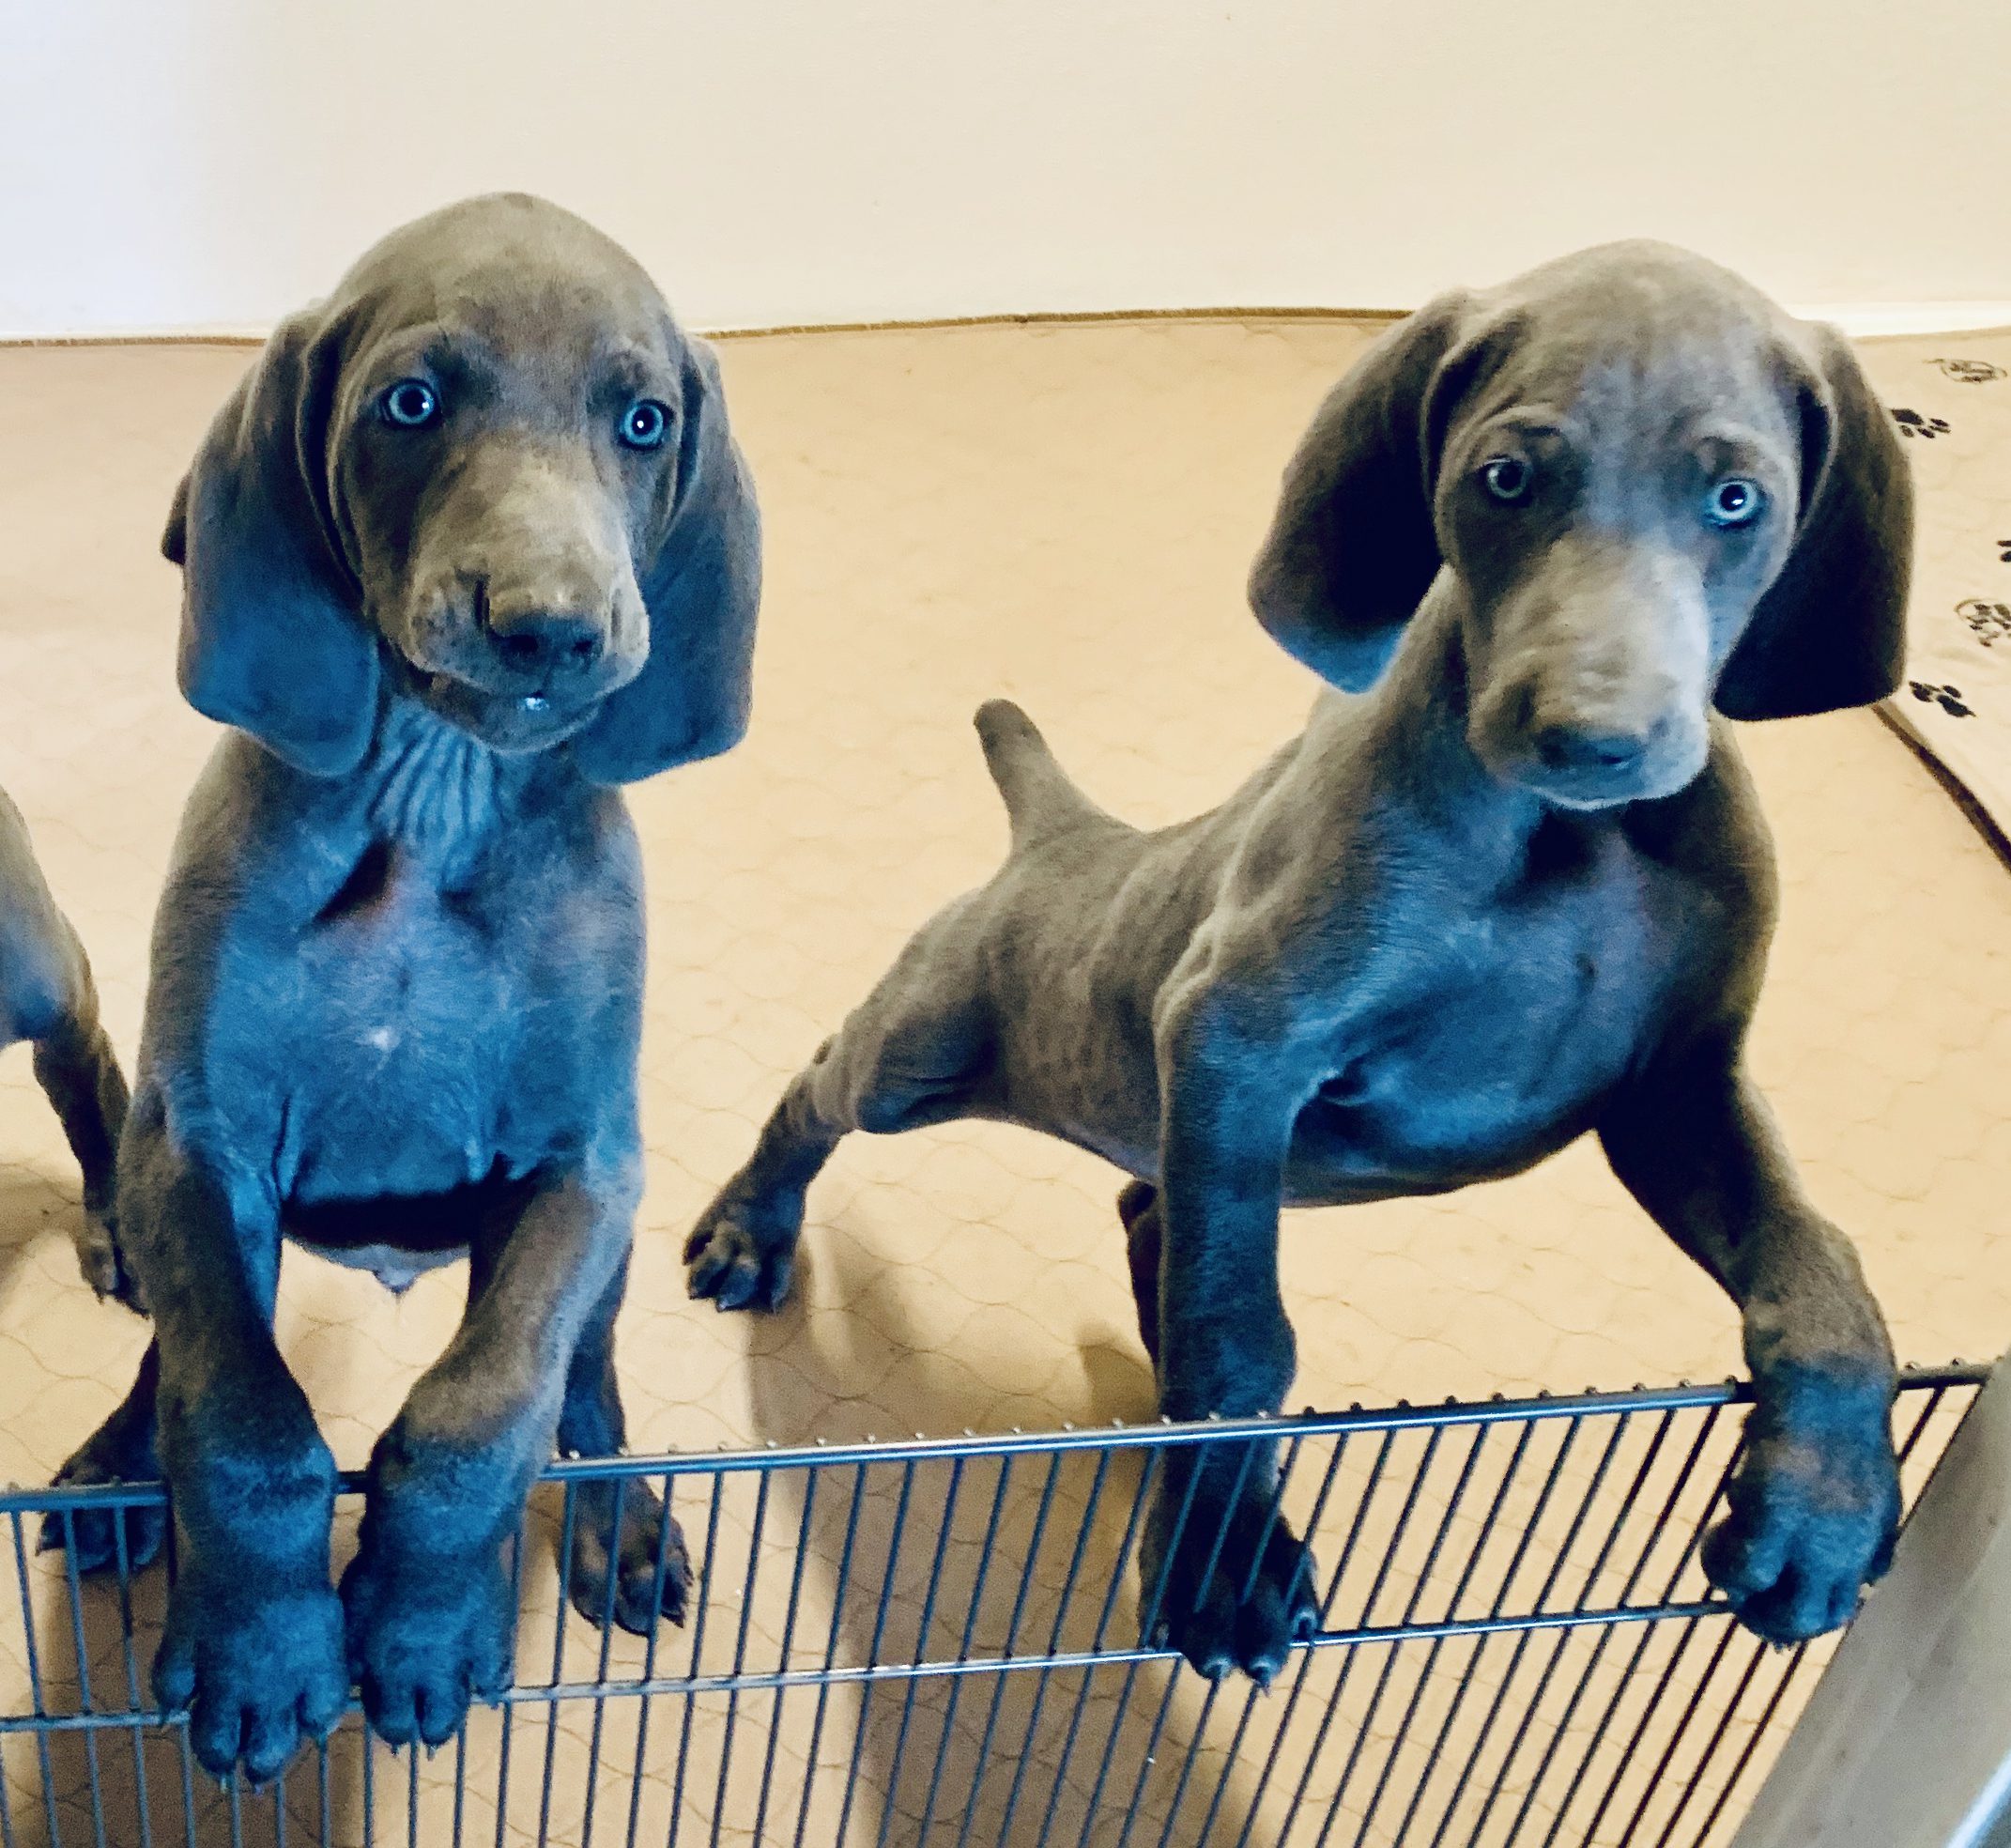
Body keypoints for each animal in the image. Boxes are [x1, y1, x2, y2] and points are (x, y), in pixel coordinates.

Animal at [40, 191, 760, 1778]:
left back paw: (619, 1524)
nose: (549, 625)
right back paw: (114, 1468)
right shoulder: (196, 1143)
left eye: (641, 420)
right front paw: (260, 1652)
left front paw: (425, 1631)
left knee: (585, 1383)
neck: (435, 800)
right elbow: (241, 1422)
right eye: (410, 404)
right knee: (171, 1360)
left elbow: (484, 1410)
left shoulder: (582, 1168)